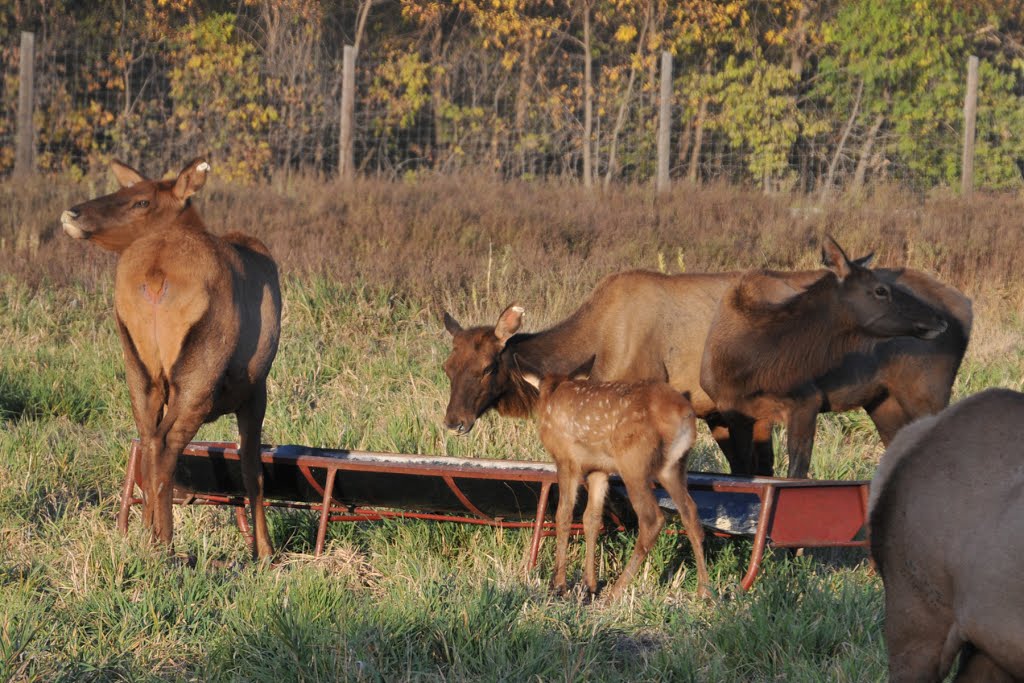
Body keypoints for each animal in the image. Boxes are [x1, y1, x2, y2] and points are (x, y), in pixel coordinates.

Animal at [63, 160, 280, 561]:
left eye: (141, 200)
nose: (73, 213)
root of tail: (155, 274)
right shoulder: (256, 388)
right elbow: (252, 469)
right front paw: (265, 552)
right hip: (200, 374)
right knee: (166, 445)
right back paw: (166, 545)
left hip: (138, 369)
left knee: (148, 441)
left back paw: (148, 537)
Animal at [440, 260, 966, 475]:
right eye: (447, 366)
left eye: (487, 368)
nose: (454, 421)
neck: (594, 346)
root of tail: (965, 306)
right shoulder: (720, 413)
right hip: (883, 404)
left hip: (924, 397)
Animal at [520, 352, 712, 602]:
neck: (553, 393)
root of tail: (684, 414)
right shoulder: (598, 469)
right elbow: (591, 518)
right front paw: (588, 585)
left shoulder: (566, 460)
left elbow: (564, 514)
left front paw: (559, 585)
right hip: (673, 467)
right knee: (690, 513)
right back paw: (704, 591)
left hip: (634, 463)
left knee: (652, 519)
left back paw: (616, 591)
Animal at [700, 237, 946, 479]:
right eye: (880, 290)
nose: (938, 319)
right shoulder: (735, 414)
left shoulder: (807, 399)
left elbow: (795, 472)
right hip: (885, 403)